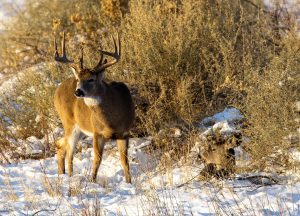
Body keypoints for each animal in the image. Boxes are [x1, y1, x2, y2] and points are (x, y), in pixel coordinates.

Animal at [53, 33, 134, 183]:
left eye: (91, 79)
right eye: (78, 79)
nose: (78, 91)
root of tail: (57, 89)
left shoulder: (124, 133)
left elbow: (124, 161)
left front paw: (129, 182)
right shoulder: (97, 132)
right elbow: (97, 160)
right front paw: (93, 181)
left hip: (78, 129)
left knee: (60, 145)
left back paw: (62, 174)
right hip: (69, 122)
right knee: (69, 151)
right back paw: (70, 177)